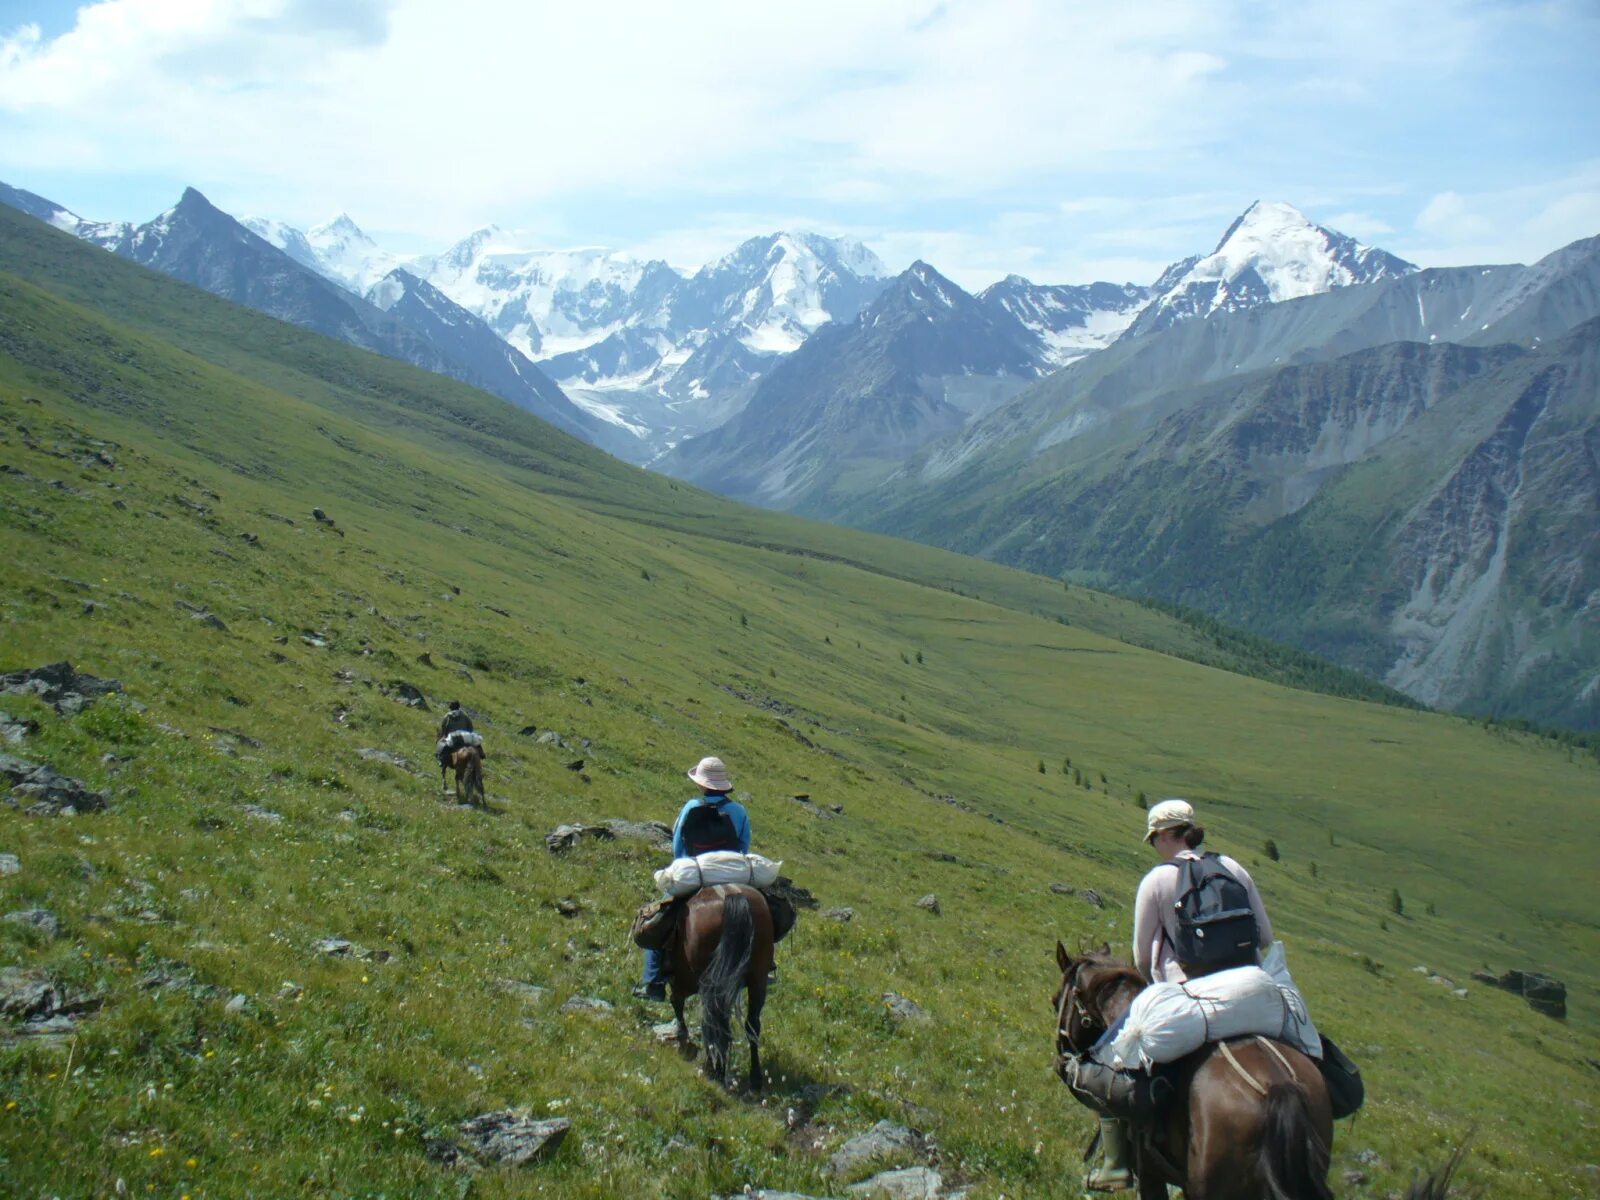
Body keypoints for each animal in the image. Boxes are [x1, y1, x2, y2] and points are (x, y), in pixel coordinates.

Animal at [668, 883, 774, 1088]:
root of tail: (732, 895)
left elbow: (678, 1003)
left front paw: (684, 1041)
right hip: (758, 977)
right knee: (752, 1024)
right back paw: (755, 1078)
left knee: (712, 1020)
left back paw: (714, 1069)